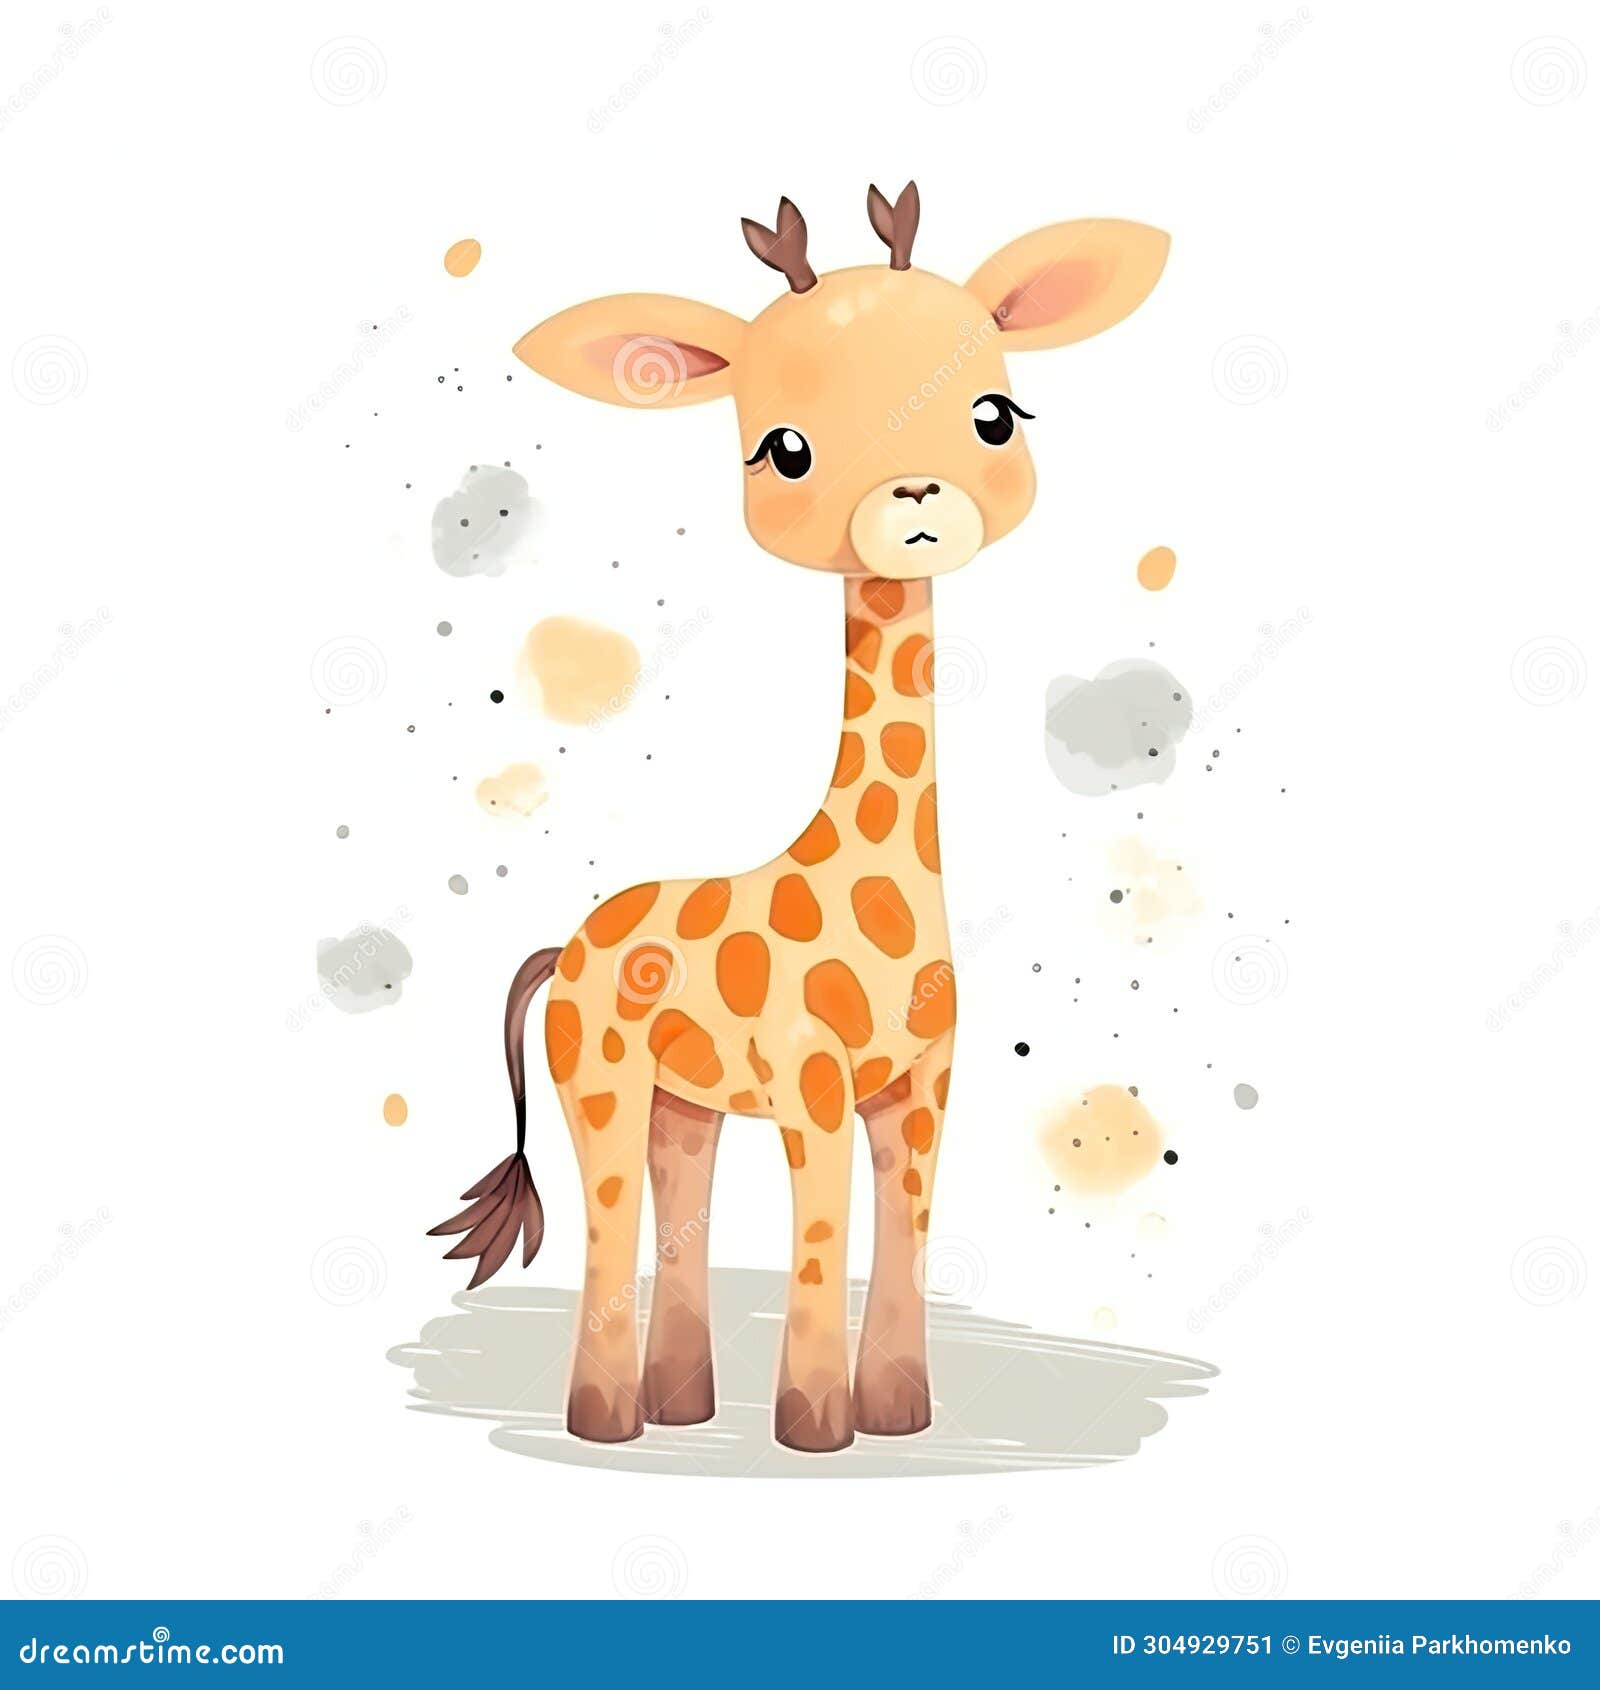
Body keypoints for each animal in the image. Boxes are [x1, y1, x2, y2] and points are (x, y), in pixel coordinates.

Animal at [430, 184, 1169, 1452]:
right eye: (786, 450)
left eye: (994, 414)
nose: (913, 501)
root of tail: (562, 947)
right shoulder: (812, 1086)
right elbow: (823, 1230)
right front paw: (816, 1431)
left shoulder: (922, 1085)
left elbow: (906, 1227)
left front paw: (899, 1415)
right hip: (603, 1078)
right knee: (610, 1215)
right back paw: (607, 1425)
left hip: (685, 1103)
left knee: (676, 1200)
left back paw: (679, 1410)